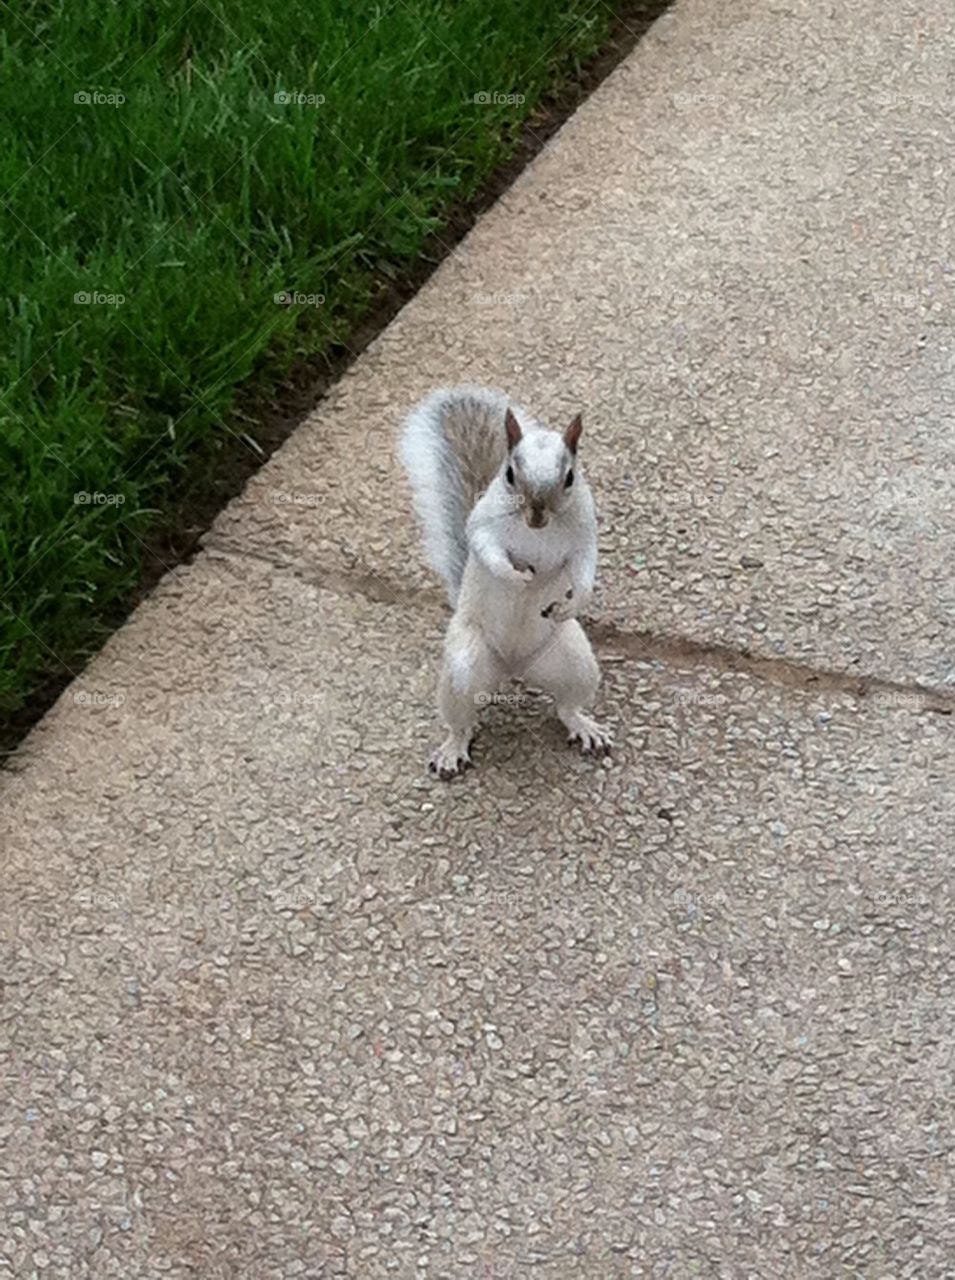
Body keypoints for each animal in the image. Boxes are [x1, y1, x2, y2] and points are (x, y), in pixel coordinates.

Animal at [399, 385, 612, 779]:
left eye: (570, 477)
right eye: (510, 473)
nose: (537, 515)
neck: (539, 532)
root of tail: (513, 668)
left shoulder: (584, 537)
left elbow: (585, 570)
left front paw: (573, 601)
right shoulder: (484, 526)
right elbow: (489, 552)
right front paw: (516, 576)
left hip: (576, 663)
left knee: (566, 707)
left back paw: (584, 726)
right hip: (463, 665)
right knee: (462, 719)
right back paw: (453, 748)